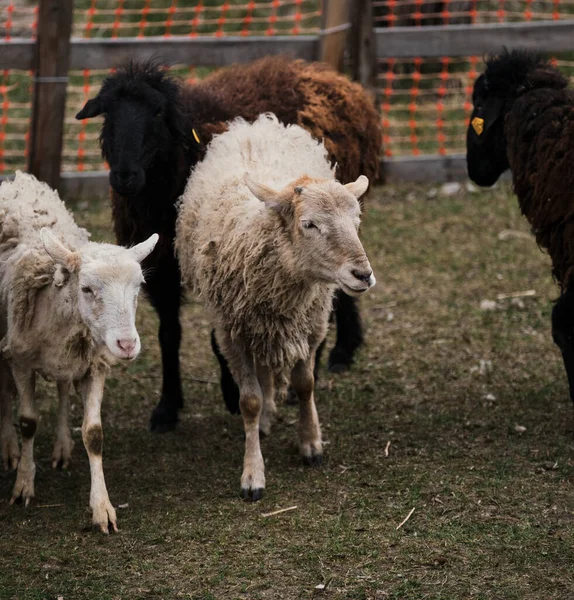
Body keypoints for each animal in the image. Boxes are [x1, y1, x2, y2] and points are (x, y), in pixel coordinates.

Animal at [0, 171, 158, 532]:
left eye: (139, 287)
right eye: (86, 289)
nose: (127, 345)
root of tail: (17, 179)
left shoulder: (94, 364)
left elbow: (94, 433)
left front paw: (102, 507)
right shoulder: (20, 361)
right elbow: (28, 421)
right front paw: (23, 484)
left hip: (69, 360)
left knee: (61, 390)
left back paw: (62, 447)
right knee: (5, 394)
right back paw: (10, 449)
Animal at [76, 57, 382, 432]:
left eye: (159, 113)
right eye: (107, 112)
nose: (124, 175)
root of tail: (336, 78)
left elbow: (217, 338)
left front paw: (230, 390)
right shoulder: (165, 264)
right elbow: (169, 334)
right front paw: (167, 407)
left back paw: (335, 355)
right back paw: (344, 349)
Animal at [176, 115, 378, 500]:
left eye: (358, 221)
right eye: (309, 224)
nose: (363, 274)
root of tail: (255, 122)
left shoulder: (311, 325)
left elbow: (305, 383)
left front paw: (311, 443)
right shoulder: (231, 334)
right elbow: (249, 402)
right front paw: (253, 473)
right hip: (248, 324)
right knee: (261, 375)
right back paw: (265, 417)